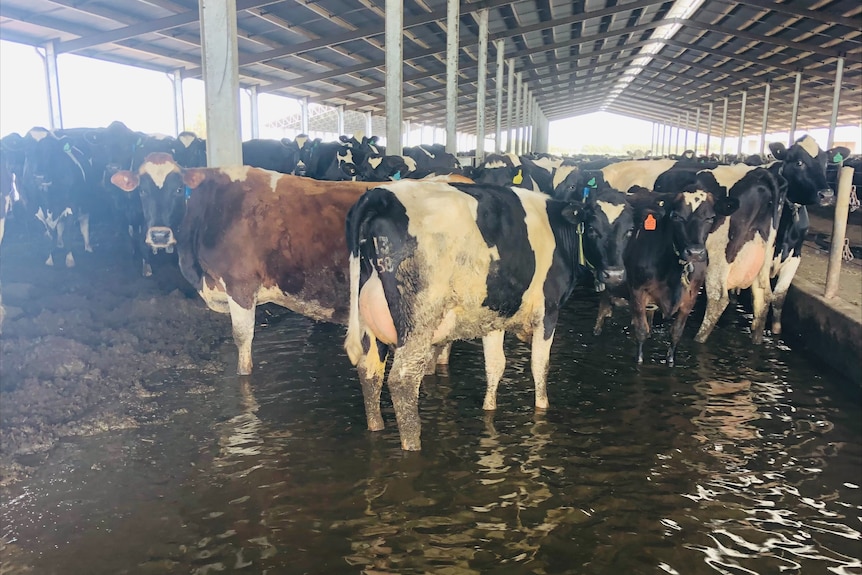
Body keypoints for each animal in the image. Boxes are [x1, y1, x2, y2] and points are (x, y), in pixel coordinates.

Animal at [344, 180, 636, 450]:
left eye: (630, 231)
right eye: (593, 228)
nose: (615, 274)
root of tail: (380, 194)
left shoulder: (494, 314)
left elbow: (495, 366)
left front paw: (489, 409)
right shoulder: (548, 311)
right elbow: (540, 366)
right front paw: (542, 408)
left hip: (370, 322)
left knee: (369, 372)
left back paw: (376, 427)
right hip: (419, 318)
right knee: (402, 382)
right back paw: (412, 445)